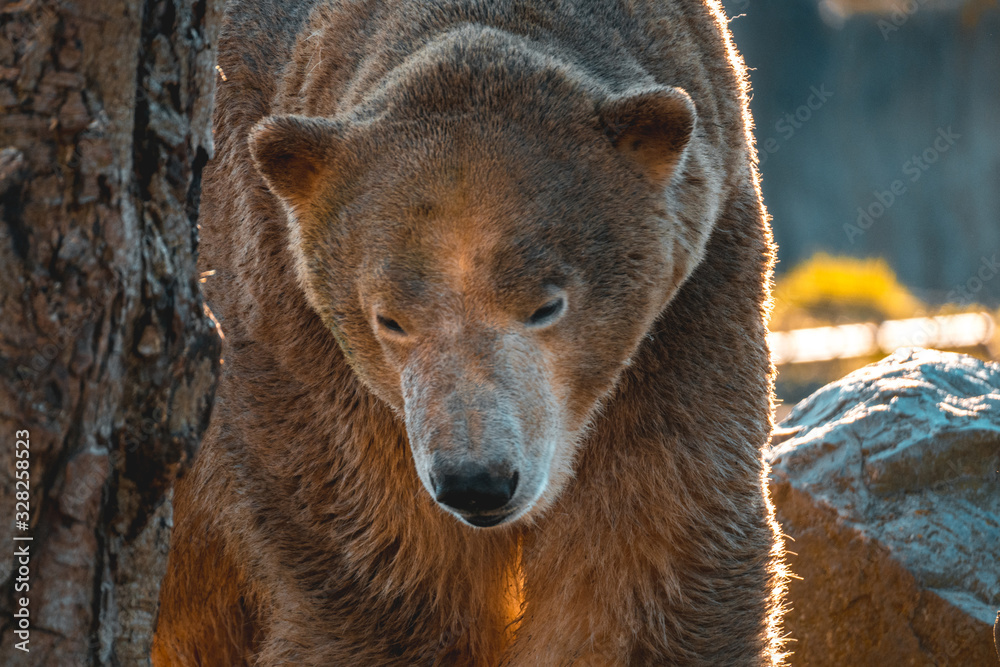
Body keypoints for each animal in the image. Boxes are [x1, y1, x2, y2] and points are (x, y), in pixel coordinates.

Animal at [153, 0, 787, 664]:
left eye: (546, 305)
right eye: (389, 319)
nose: (476, 482)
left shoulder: (694, 303)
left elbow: (652, 553)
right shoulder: (292, 329)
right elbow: (381, 574)